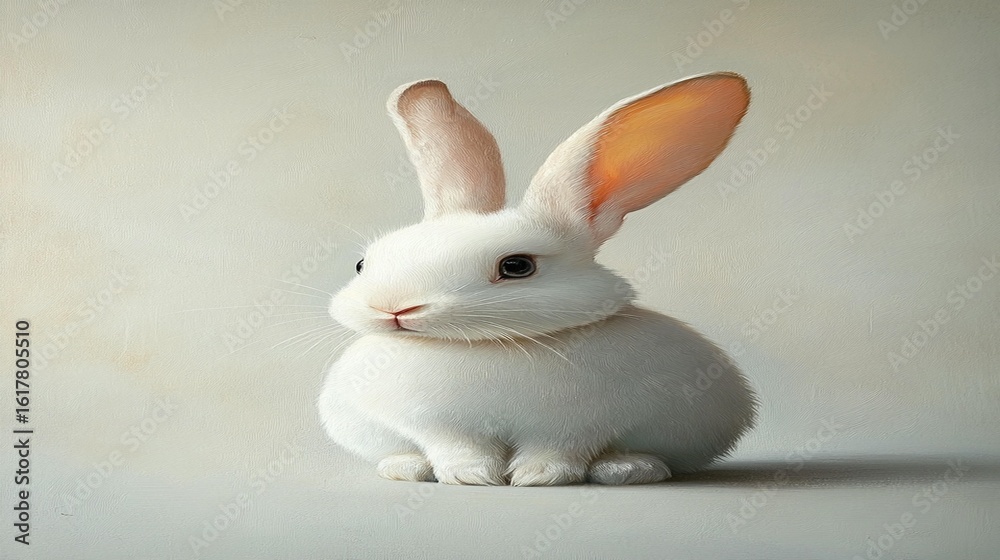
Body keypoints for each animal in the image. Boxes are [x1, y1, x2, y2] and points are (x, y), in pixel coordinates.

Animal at [317, 72, 758, 486]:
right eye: (362, 264)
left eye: (516, 267)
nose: (393, 309)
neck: (490, 347)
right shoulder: (440, 428)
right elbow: (458, 448)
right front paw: (471, 475)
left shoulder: (576, 428)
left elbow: (557, 450)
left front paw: (539, 477)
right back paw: (405, 467)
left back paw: (627, 469)